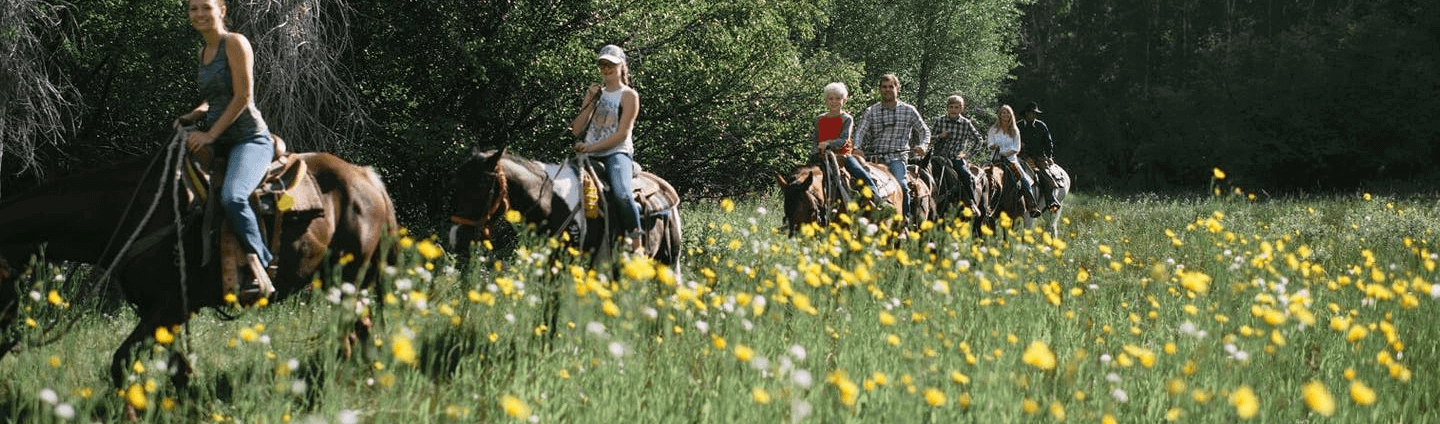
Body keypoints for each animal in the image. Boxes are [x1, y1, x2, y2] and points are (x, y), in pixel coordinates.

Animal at [0, 142, 394, 386]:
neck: (136, 214)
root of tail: (366, 177)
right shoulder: (163, 313)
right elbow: (180, 372)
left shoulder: (170, 307)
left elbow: (122, 362)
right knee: (358, 333)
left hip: (349, 281)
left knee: (355, 333)